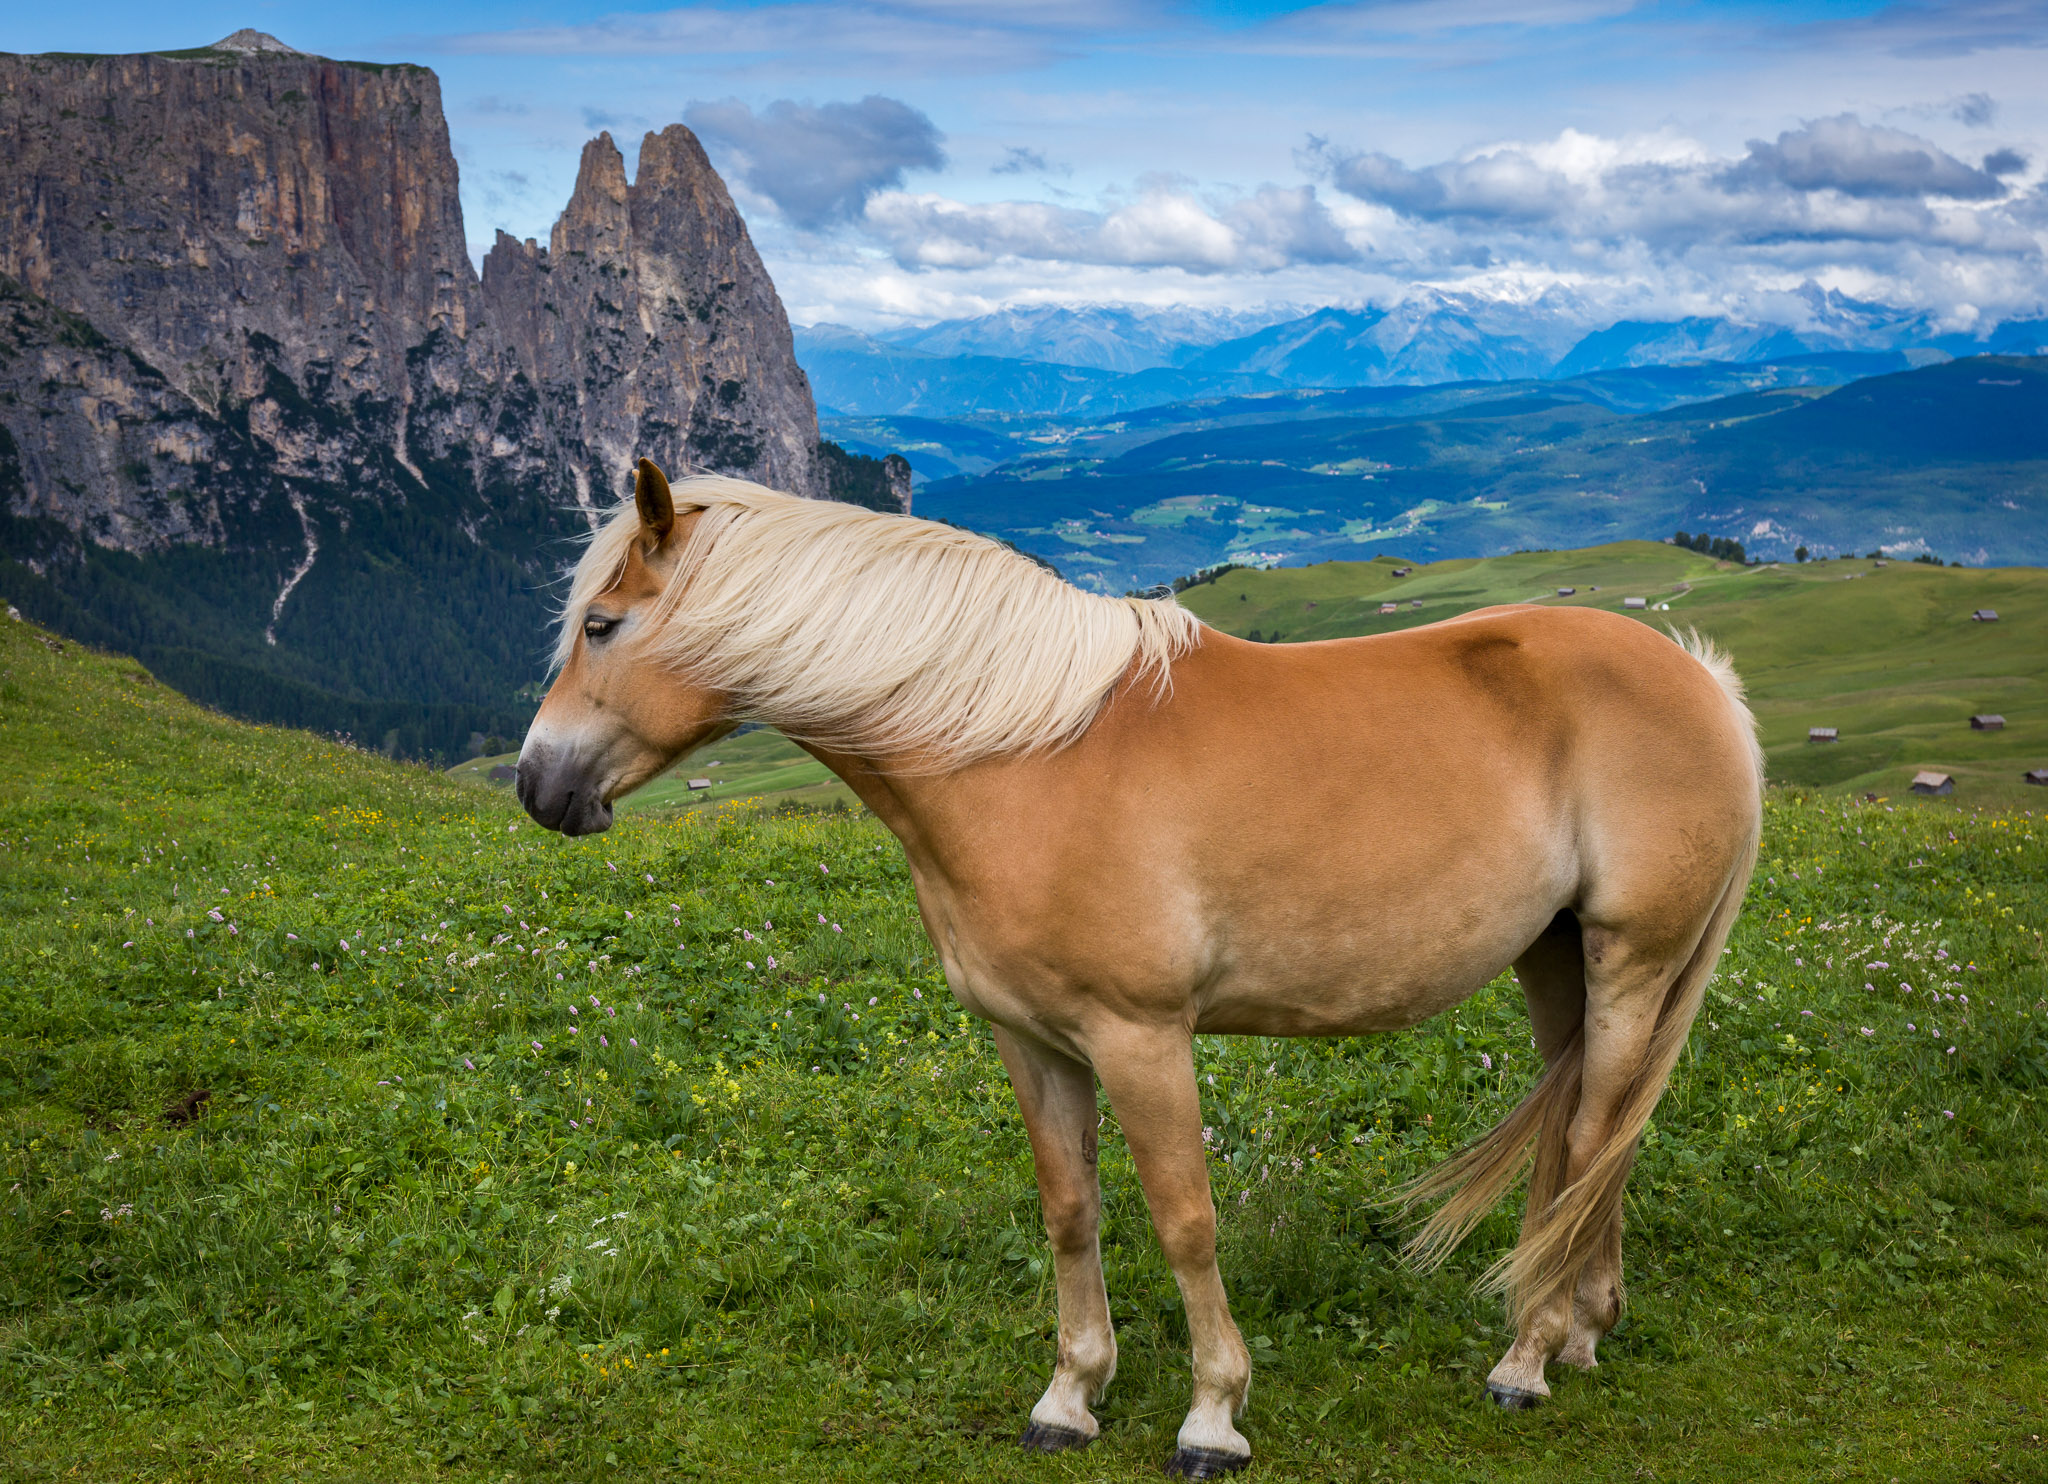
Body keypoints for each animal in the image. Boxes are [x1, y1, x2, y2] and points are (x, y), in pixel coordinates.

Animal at [512, 460, 1761, 1473]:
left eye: (604, 625)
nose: (537, 785)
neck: (1019, 751)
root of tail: (1702, 681)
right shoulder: (1032, 1039)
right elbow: (1071, 1208)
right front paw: (1069, 1395)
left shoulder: (1140, 1036)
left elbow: (1183, 1215)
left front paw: (1212, 1415)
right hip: (1557, 964)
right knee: (1590, 1138)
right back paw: (1578, 1327)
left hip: (1630, 962)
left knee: (1595, 1134)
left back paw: (1528, 1355)